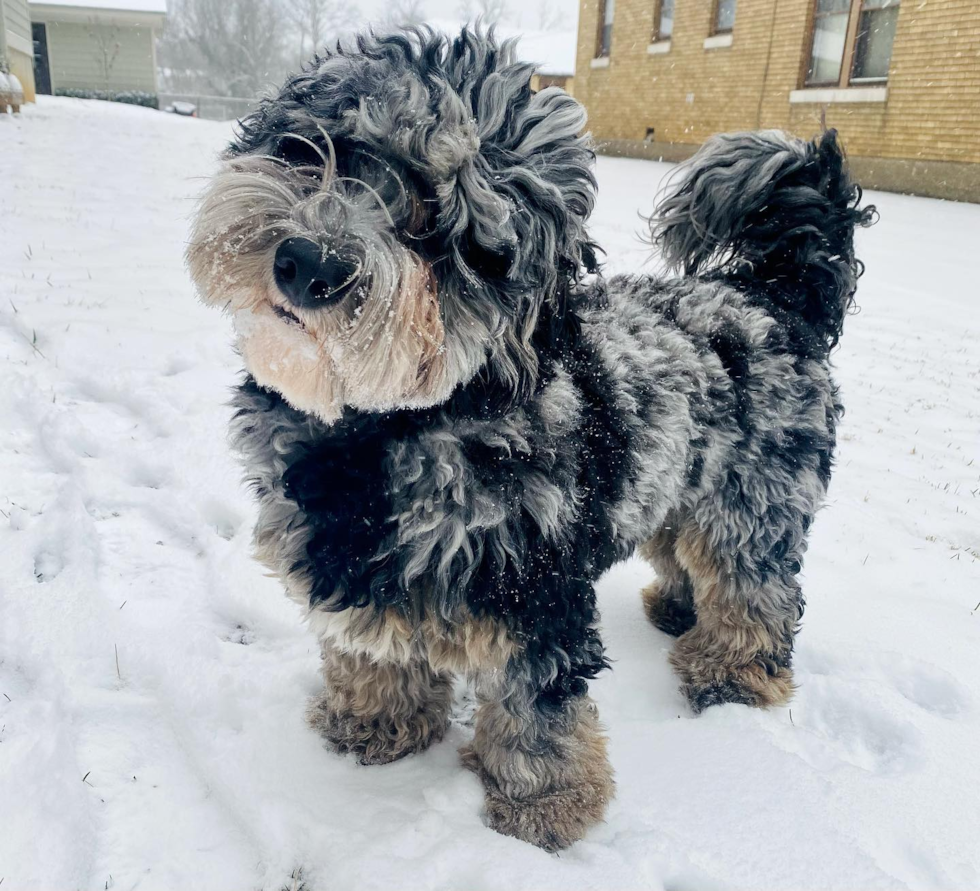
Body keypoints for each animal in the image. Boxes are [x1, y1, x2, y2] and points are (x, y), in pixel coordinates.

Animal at [188, 26, 876, 852]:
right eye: (323, 147)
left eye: (443, 227)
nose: (309, 264)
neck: (382, 431)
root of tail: (771, 293)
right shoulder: (359, 575)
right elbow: (370, 651)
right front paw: (371, 725)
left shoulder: (535, 589)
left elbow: (536, 711)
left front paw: (542, 809)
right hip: (678, 480)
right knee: (686, 551)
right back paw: (678, 609)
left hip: (755, 500)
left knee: (756, 587)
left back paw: (732, 672)